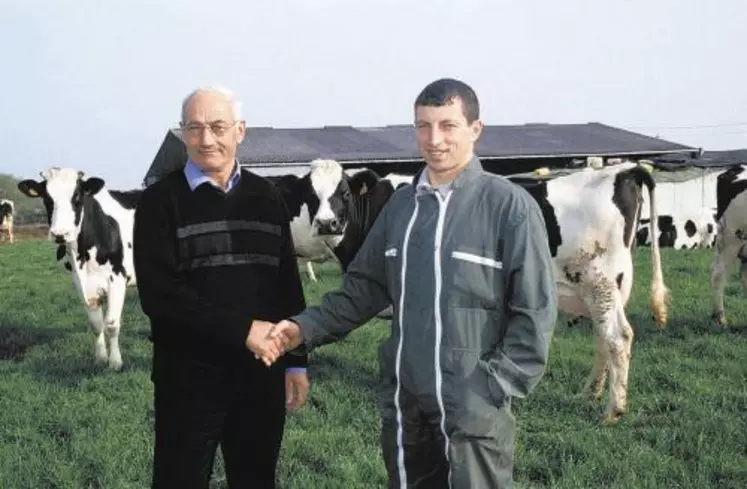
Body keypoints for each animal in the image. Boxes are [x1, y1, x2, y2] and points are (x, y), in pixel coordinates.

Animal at [17, 169, 143, 370]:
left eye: (77, 196)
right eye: (47, 198)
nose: (60, 234)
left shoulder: (118, 277)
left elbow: (111, 324)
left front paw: (115, 363)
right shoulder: (80, 282)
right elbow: (96, 324)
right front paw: (101, 359)